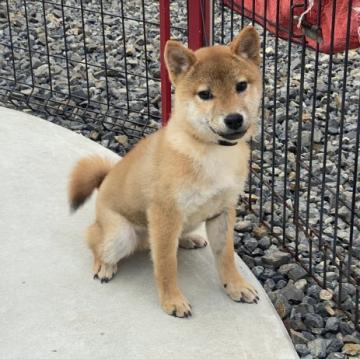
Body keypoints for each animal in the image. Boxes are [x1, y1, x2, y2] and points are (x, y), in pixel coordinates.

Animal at [69, 26, 262, 320]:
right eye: (205, 94)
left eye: (241, 86)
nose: (233, 119)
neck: (211, 152)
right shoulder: (165, 214)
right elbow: (166, 264)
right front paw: (172, 300)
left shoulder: (223, 210)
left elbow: (226, 255)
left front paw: (235, 286)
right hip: (119, 235)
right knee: (94, 239)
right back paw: (104, 265)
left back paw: (189, 239)